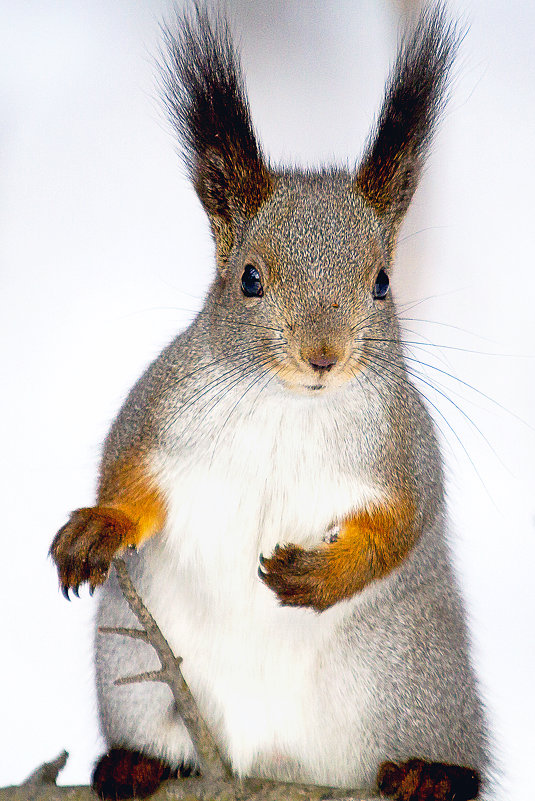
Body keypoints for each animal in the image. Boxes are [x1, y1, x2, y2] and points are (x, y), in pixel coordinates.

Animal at [50, 6, 494, 800]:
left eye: (382, 282)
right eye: (249, 279)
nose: (323, 356)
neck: (294, 405)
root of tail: (269, 765)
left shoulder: (406, 445)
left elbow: (404, 523)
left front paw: (323, 574)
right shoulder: (159, 407)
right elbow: (127, 472)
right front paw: (100, 524)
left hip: (418, 684)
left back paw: (431, 775)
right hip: (130, 672)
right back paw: (138, 762)